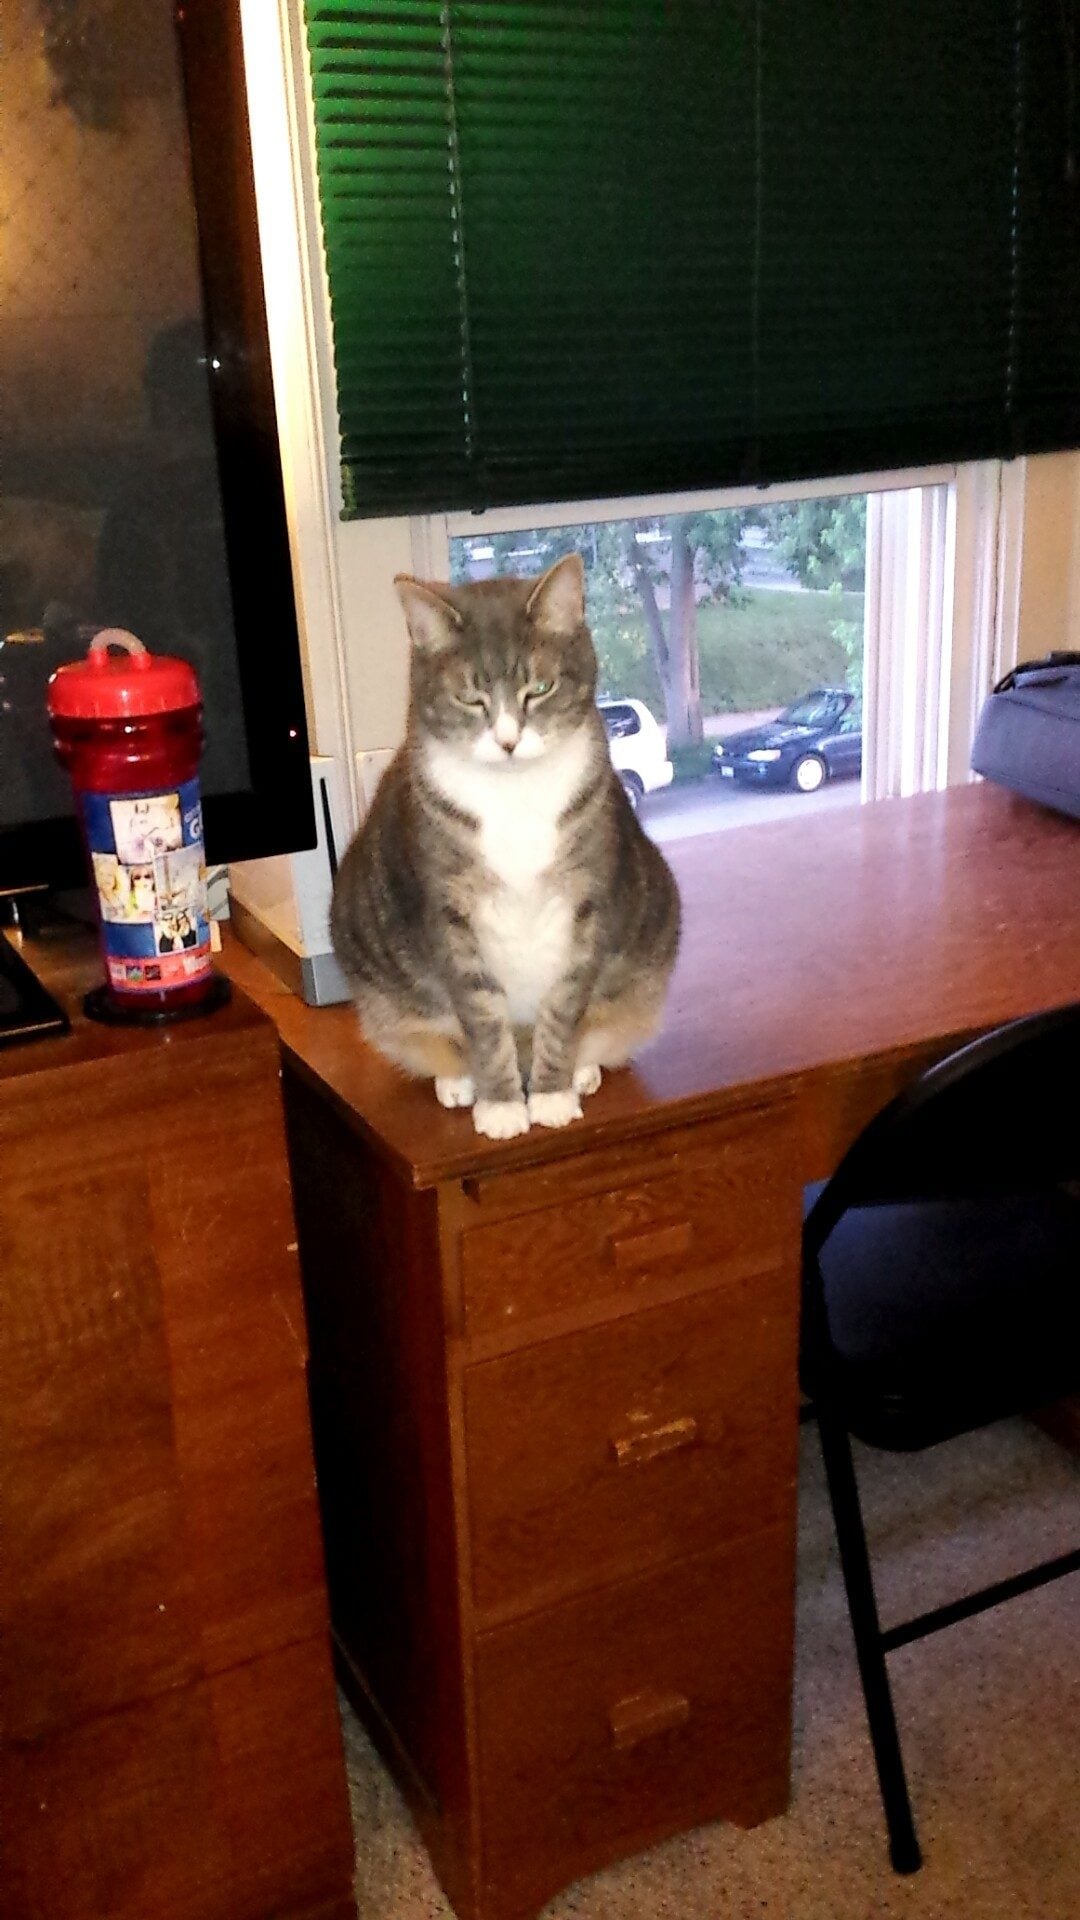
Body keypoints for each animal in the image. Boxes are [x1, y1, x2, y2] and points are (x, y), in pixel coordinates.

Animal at [330, 554, 680, 1140]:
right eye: (470, 698)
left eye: (539, 687)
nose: (508, 740)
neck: (515, 796)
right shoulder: (448, 912)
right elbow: (480, 1013)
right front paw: (501, 1105)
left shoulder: (586, 902)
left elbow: (564, 1006)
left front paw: (552, 1095)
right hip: (380, 990)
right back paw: (459, 1080)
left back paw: (580, 1070)